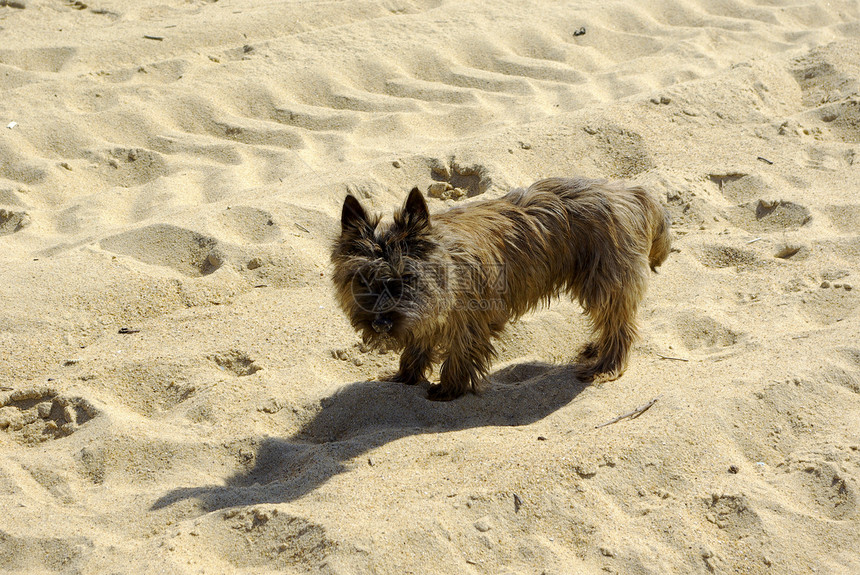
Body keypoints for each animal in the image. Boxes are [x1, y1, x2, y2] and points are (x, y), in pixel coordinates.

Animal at [330, 178, 672, 402]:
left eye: (406, 278)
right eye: (361, 279)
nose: (380, 323)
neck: (448, 263)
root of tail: (633, 193)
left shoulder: (468, 321)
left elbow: (459, 353)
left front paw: (449, 388)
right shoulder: (428, 314)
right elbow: (418, 343)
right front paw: (406, 376)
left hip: (606, 283)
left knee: (620, 326)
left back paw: (605, 366)